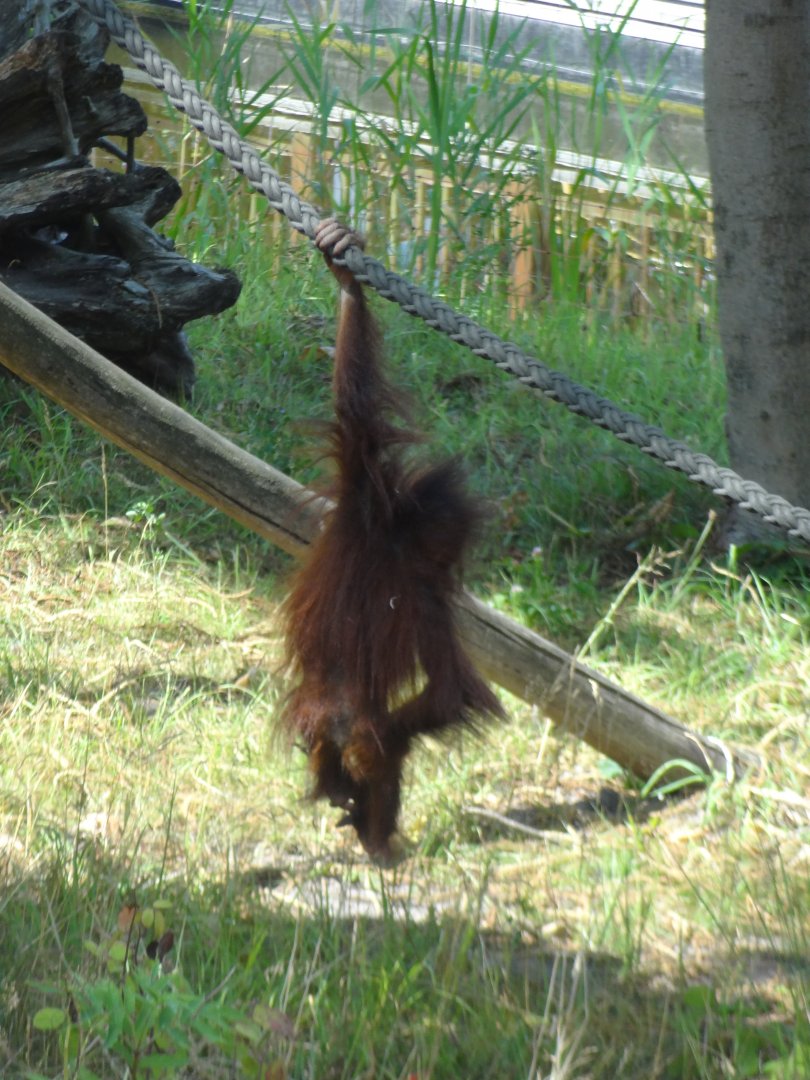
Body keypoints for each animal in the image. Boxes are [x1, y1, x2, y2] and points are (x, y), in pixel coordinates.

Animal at [280, 218, 504, 863]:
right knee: (383, 746)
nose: (455, 563)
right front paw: (345, 278)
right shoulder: (373, 504)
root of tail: (334, 709)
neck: (399, 539)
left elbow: (451, 691)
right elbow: (355, 408)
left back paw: (364, 823)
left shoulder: (378, 516)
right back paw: (372, 822)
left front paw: (344, 278)